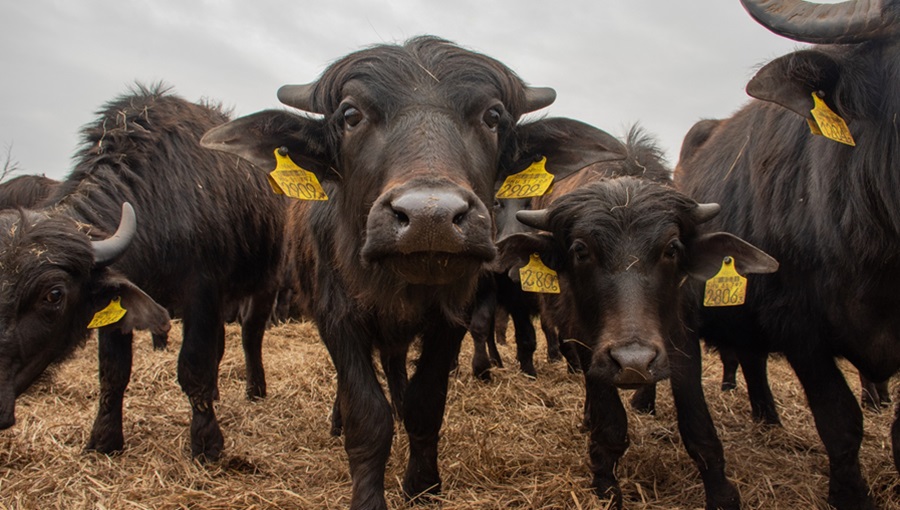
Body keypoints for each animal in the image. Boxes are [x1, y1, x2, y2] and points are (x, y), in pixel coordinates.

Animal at [0, 84, 286, 462]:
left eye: (54, 294)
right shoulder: (120, 294)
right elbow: (113, 371)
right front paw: (105, 439)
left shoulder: (201, 291)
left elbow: (194, 364)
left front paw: (207, 443)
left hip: (265, 283)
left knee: (251, 334)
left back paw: (255, 389)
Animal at [198, 36, 584, 510]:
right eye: (350, 115)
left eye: (493, 116)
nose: (430, 218)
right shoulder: (336, 317)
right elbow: (366, 413)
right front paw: (367, 491)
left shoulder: (450, 318)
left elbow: (426, 403)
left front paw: (422, 485)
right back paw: (337, 420)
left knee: (397, 365)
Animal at [496, 118, 776, 506]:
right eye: (580, 249)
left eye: (671, 248)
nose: (633, 363)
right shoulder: (588, 344)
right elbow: (611, 423)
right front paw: (605, 482)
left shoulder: (681, 336)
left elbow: (697, 424)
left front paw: (721, 494)